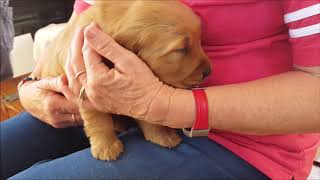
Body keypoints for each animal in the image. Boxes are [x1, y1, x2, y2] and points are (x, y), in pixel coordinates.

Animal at [33, 0, 212, 160]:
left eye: (199, 40)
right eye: (181, 49)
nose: (208, 72)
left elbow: (147, 116)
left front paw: (162, 135)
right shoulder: (86, 91)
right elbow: (98, 119)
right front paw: (106, 146)